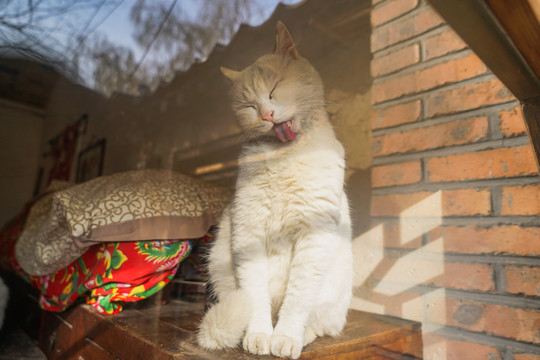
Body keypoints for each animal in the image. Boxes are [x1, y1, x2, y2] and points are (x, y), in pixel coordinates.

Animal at [196, 22, 352, 360]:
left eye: (274, 89)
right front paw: (259, 336)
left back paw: (302, 336)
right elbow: (256, 297)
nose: (266, 114)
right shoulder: (249, 231)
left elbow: (297, 301)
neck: (285, 156)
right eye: (249, 106)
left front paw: (285, 339)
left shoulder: (314, 236)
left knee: (319, 325)